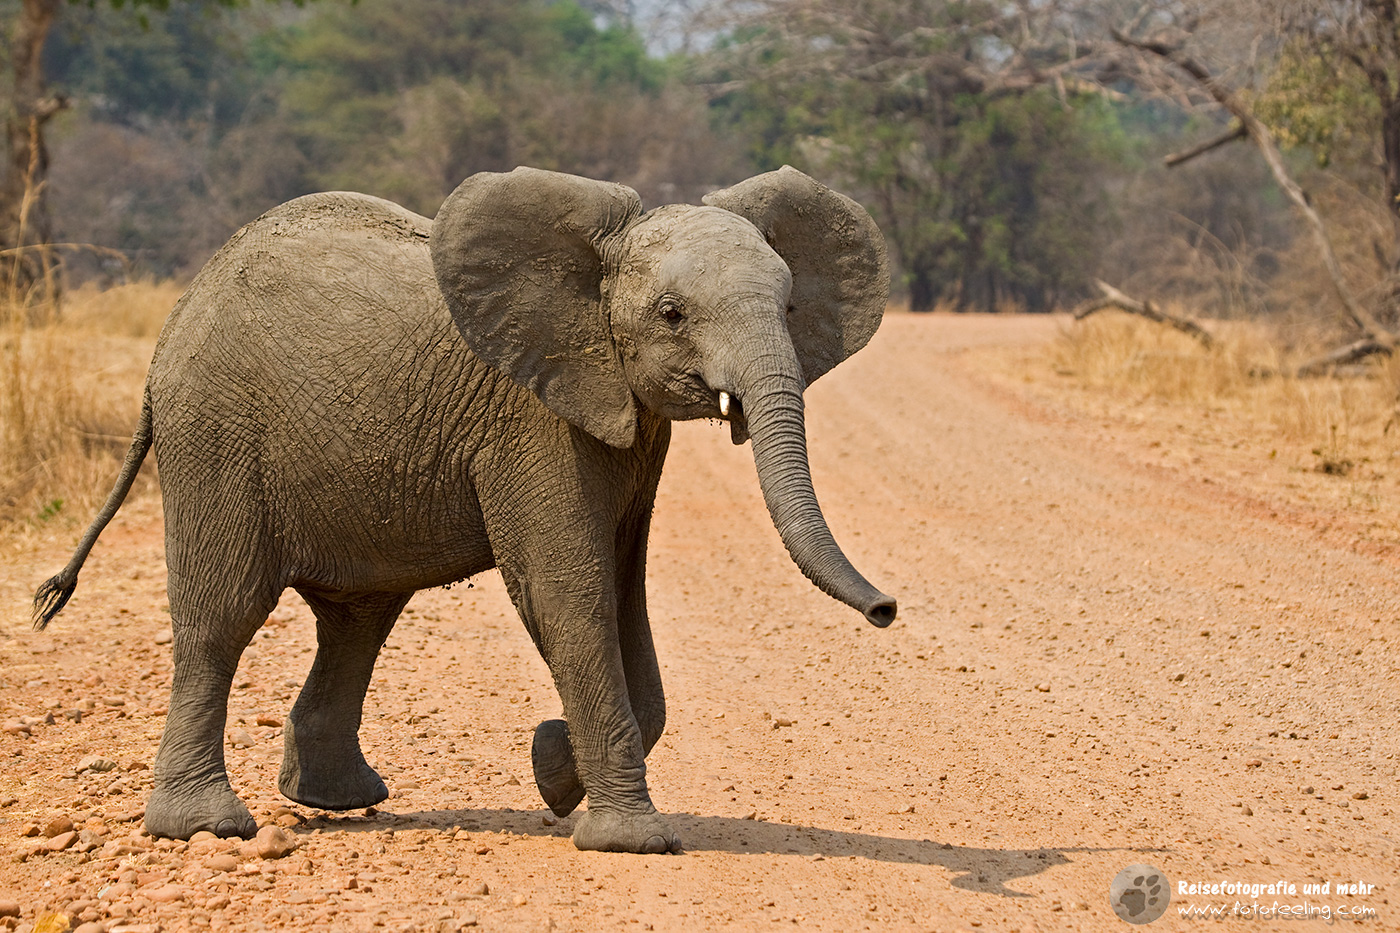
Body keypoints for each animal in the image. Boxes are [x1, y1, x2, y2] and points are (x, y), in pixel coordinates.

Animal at [33, 165, 896, 854]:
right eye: (672, 314)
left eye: (789, 307)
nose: (887, 609)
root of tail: (173, 322)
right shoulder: (533, 417)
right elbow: (570, 594)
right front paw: (627, 836)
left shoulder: (626, 425)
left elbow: (626, 600)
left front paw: (553, 769)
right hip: (215, 430)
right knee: (224, 614)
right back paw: (209, 826)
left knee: (357, 618)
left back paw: (335, 799)